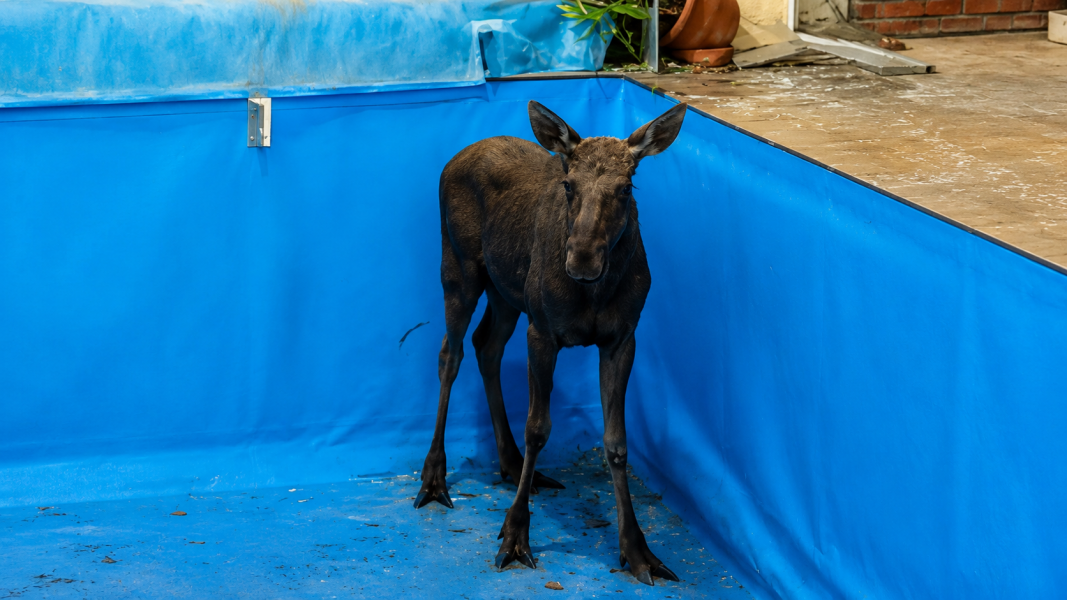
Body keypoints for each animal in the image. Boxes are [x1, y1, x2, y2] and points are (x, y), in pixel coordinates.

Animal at [413, 99, 687, 586]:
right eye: (568, 184)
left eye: (626, 187)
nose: (581, 259)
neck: (594, 294)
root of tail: (456, 157)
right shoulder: (542, 331)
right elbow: (538, 427)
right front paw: (515, 535)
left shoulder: (623, 338)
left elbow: (617, 441)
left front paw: (638, 549)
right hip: (459, 269)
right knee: (451, 353)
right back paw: (434, 479)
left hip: (507, 292)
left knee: (486, 345)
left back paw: (510, 463)